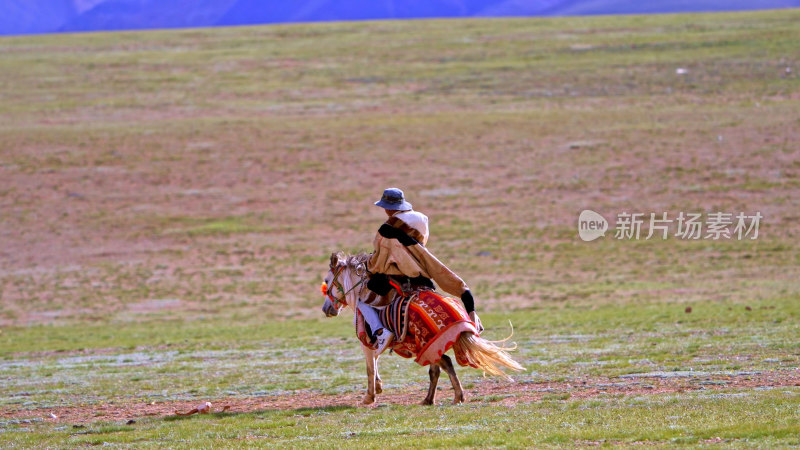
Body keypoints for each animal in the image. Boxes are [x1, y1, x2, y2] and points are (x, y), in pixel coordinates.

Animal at [320, 253, 524, 404]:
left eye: (327, 280)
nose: (326, 309)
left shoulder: (367, 342)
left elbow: (370, 367)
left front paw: (369, 397)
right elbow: (376, 363)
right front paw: (378, 387)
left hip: (428, 342)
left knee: (445, 363)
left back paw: (457, 396)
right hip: (431, 343)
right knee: (437, 369)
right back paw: (429, 399)